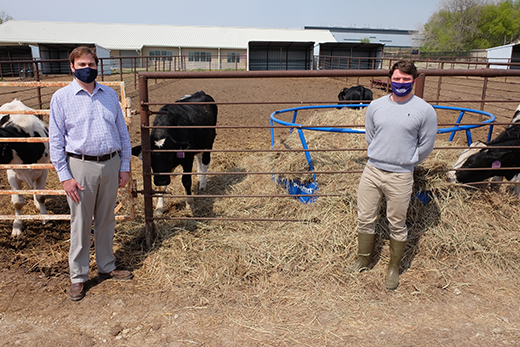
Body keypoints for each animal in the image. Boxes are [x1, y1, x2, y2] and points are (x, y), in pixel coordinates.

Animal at [0, 99, 49, 238]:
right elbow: (18, 202)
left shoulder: (43, 170)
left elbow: (40, 196)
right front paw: (17, 226)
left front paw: (44, 216)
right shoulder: (12, 173)